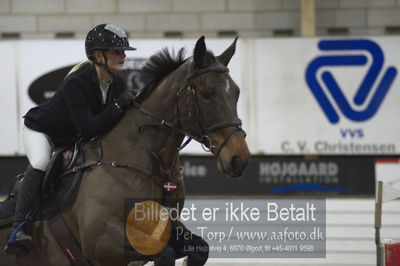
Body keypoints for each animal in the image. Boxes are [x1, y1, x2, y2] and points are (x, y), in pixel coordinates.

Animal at [0, 35, 250, 266]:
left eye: (237, 92)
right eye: (206, 94)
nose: (239, 159)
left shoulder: (169, 227)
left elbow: (199, 248)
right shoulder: (100, 242)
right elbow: (164, 253)